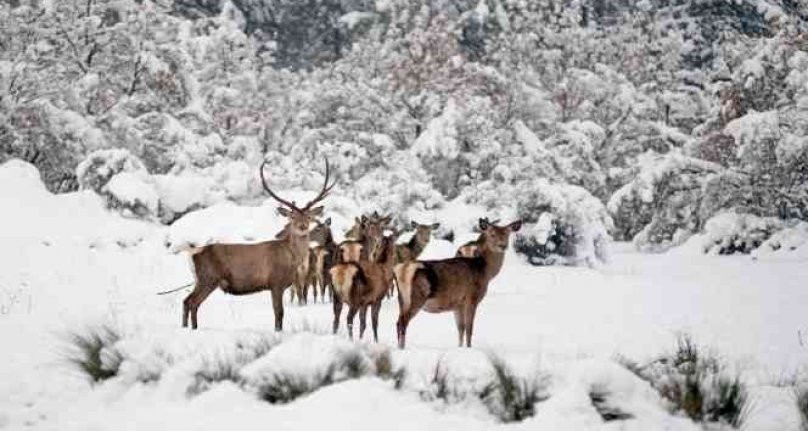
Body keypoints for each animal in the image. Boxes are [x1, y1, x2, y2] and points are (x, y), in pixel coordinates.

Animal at [181, 160, 336, 332]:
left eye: (308, 217)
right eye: (292, 217)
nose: (302, 226)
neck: (291, 259)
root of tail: (192, 253)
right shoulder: (275, 282)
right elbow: (279, 312)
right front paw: (278, 331)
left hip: (201, 280)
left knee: (186, 301)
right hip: (208, 278)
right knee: (192, 302)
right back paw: (193, 329)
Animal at [392, 218, 524, 350]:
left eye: (507, 234)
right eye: (492, 234)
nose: (503, 245)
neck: (485, 271)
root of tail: (402, 270)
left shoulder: (457, 304)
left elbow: (461, 328)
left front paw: (459, 348)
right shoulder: (471, 297)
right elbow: (469, 328)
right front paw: (469, 348)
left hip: (402, 299)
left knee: (398, 321)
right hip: (417, 296)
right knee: (403, 322)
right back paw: (402, 348)